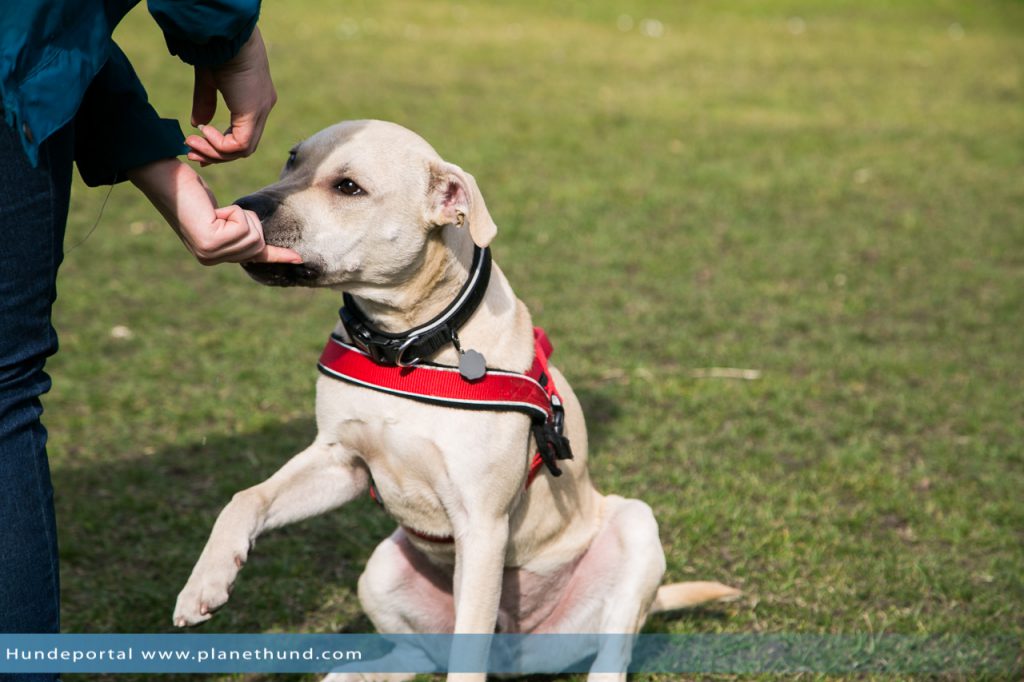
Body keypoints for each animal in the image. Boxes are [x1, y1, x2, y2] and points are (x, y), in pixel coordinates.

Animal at [172, 120, 741, 679]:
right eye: (291, 160)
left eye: (348, 187)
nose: (245, 205)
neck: (405, 344)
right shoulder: (340, 461)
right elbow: (247, 498)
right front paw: (206, 581)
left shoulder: (482, 524)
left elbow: (469, 657)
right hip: (381, 570)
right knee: (413, 657)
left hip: (634, 530)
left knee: (611, 653)